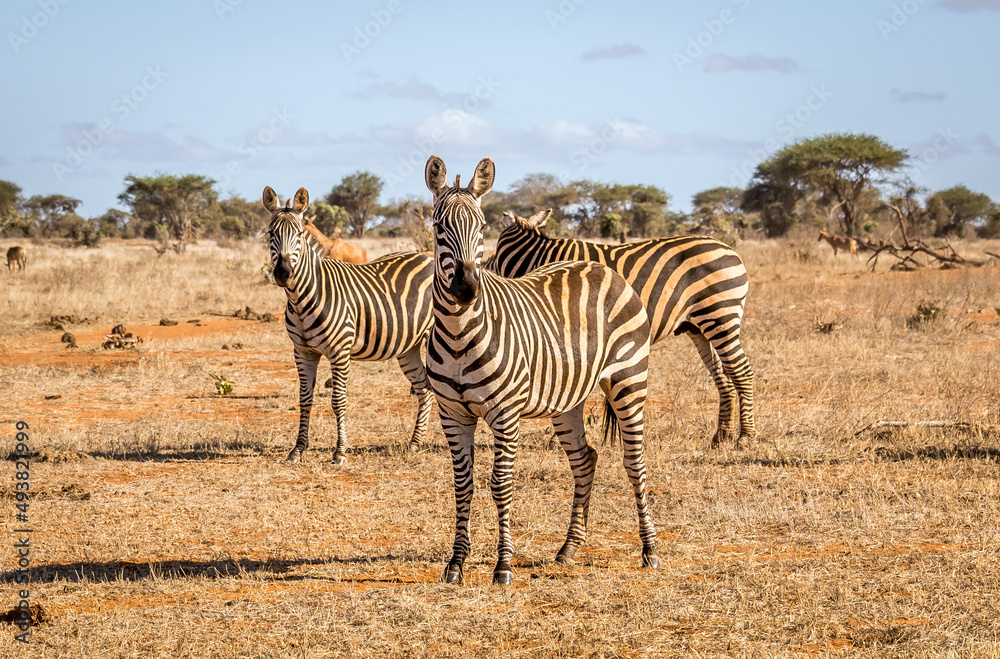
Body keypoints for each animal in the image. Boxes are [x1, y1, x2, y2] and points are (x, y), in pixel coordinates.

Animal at [263, 185, 435, 464]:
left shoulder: (339, 351)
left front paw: (340, 451)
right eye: (271, 233)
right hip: (409, 346)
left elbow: (338, 401)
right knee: (425, 389)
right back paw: (414, 443)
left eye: (299, 234)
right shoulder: (302, 352)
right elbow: (305, 399)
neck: (302, 297)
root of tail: (428, 257)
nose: (283, 273)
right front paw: (298, 449)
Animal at [424, 156, 658, 586]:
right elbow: (463, 485)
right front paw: (456, 564)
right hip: (568, 399)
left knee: (635, 462)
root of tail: (601, 266)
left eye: (482, 227)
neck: (460, 332)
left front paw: (503, 566)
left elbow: (501, 484)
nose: (466, 289)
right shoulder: (452, 413)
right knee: (586, 459)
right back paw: (569, 549)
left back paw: (649, 550)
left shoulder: (505, 413)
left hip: (629, 380)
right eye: (438, 227)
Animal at [489, 209, 756, 448]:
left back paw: (746, 437)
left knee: (741, 371)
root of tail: (728, 248)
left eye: (497, 248)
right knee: (723, 375)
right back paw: (721, 436)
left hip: (720, 314)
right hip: (698, 326)